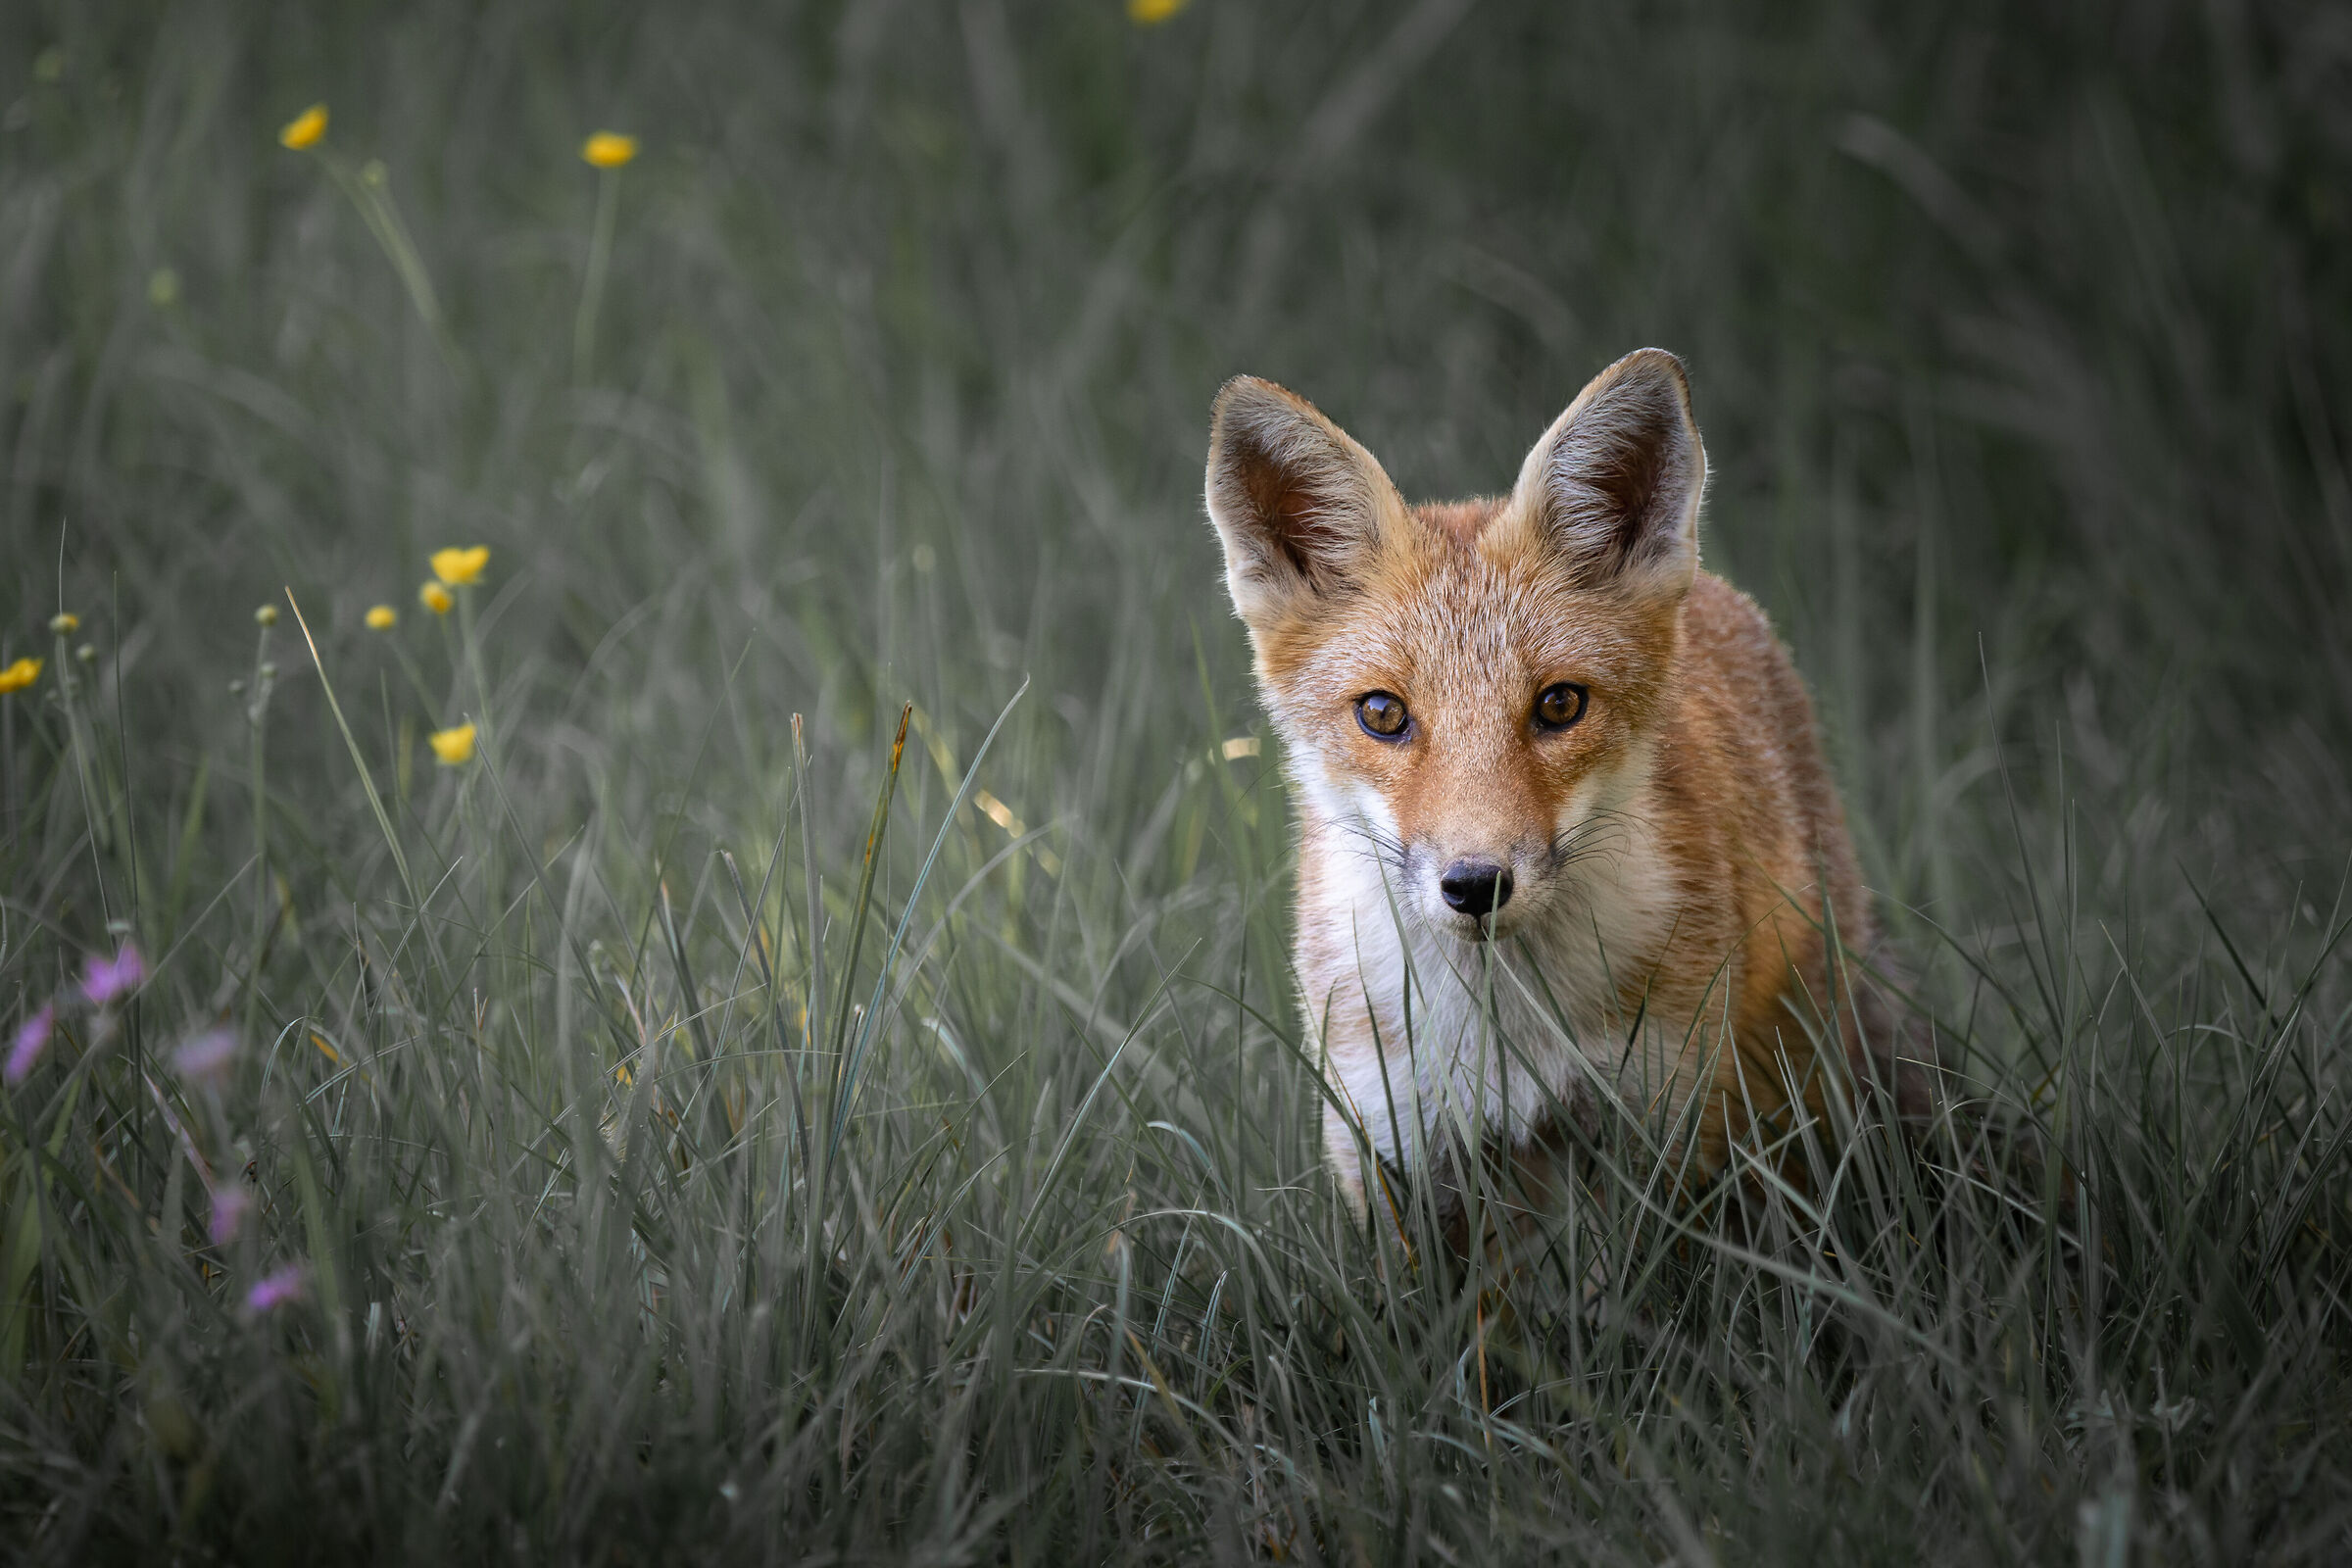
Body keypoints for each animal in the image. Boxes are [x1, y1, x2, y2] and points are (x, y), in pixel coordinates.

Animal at [1203, 347, 1917, 1225]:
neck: (1502, 1031)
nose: (1476, 885)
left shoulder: (1663, 1122)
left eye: (1560, 704)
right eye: (1383, 713)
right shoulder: (1388, 1140)